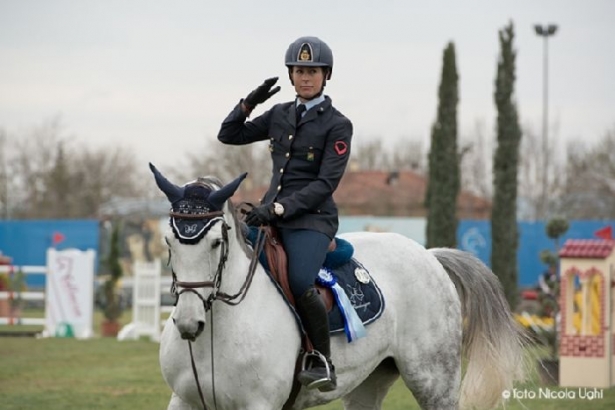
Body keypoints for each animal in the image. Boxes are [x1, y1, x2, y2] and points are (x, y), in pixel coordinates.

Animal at [150, 164, 528, 410]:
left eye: (216, 242)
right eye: (169, 241)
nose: (188, 323)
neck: (218, 332)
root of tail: (429, 255)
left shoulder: (259, 405)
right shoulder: (183, 401)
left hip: (434, 382)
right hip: (371, 381)